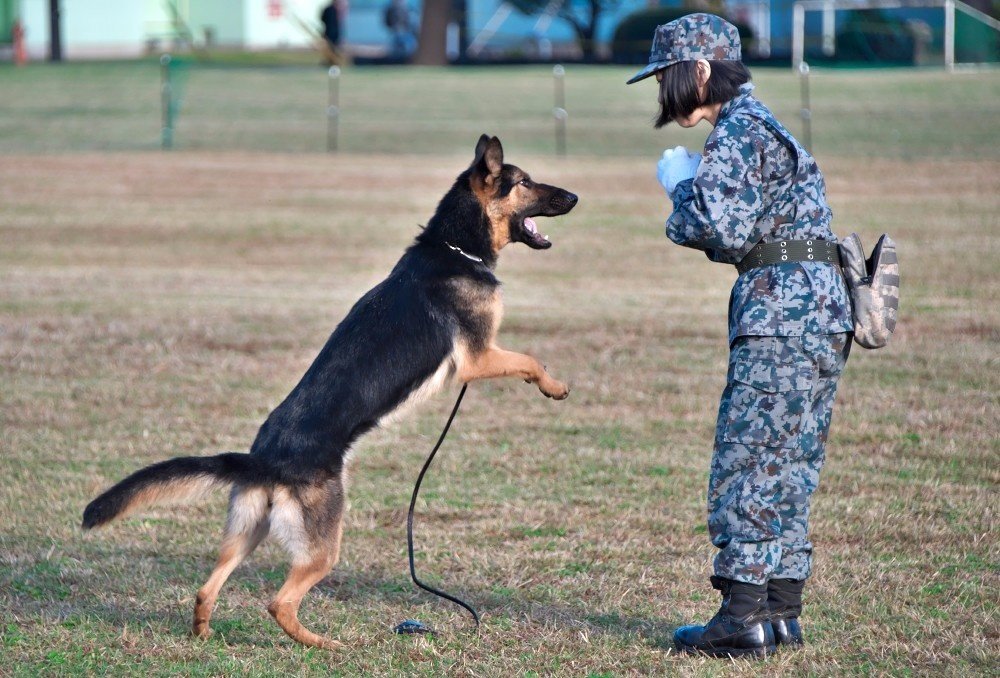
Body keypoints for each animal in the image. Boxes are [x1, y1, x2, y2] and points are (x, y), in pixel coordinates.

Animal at [82, 135, 580, 652]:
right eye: (524, 182)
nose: (575, 197)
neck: (457, 247)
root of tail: (265, 460)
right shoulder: (477, 358)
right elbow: (530, 359)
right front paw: (554, 387)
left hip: (248, 531)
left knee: (206, 588)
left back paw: (204, 633)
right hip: (324, 542)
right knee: (279, 602)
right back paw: (325, 644)